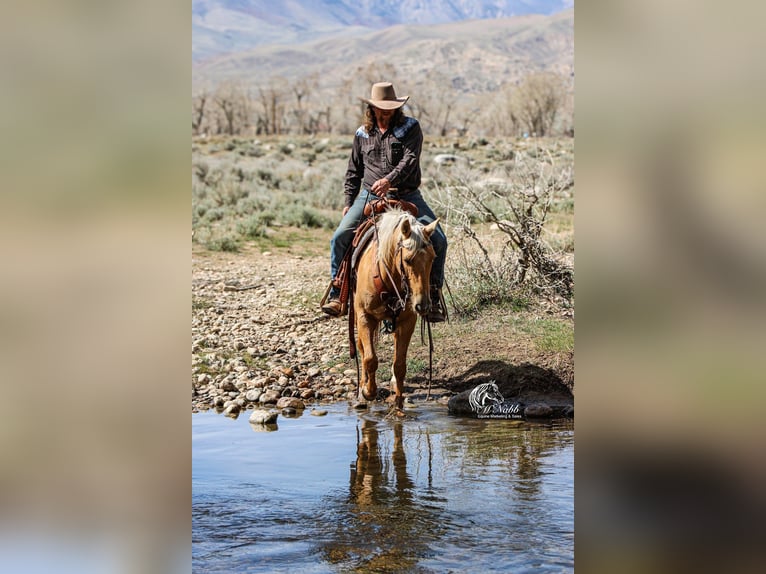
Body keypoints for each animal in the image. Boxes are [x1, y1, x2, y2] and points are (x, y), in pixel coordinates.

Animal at [352, 207, 439, 410]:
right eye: (407, 260)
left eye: (433, 258)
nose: (423, 305)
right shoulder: (365, 316)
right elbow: (370, 359)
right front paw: (368, 391)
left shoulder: (407, 321)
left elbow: (399, 365)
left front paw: (398, 403)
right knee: (361, 347)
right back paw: (363, 385)